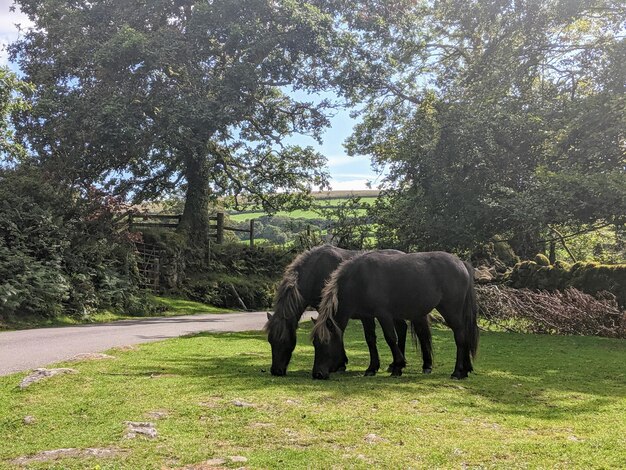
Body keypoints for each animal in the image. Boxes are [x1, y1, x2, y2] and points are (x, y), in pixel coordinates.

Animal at [262, 246, 428, 374]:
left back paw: (425, 365)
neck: (317, 270)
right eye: (270, 341)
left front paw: (340, 365)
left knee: (419, 332)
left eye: (284, 340)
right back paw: (395, 365)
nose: (276, 371)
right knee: (402, 329)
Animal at [310, 252, 476, 380]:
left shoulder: (383, 315)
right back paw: (465, 370)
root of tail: (461, 263)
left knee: (460, 336)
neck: (359, 279)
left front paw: (398, 367)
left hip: (451, 311)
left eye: (326, 342)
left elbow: (391, 338)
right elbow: (370, 340)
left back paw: (457, 372)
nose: (317, 374)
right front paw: (372, 368)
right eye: (315, 344)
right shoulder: (367, 316)